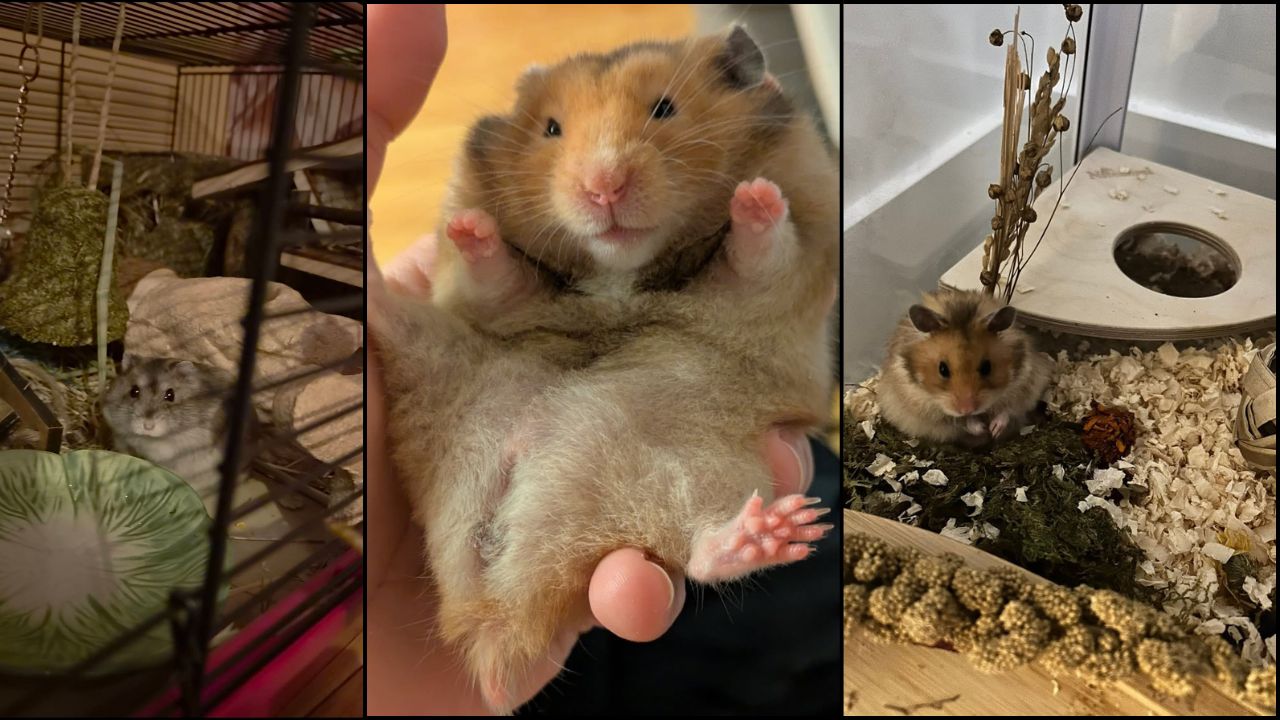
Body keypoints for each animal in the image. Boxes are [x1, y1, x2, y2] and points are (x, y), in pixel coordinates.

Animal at [372, 26, 838, 711]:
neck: (621, 273)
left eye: (664, 109)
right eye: (551, 129)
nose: (603, 187)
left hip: (698, 466)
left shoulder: (781, 279)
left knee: (700, 548)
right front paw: (469, 226)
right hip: (435, 352)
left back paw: (778, 531)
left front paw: (752, 196)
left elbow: (761, 251)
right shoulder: (486, 301)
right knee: (393, 322)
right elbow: (496, 273)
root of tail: (492, 612)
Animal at [877, 289, 1052, 445]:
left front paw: (994, 430)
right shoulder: (924, 407)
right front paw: (981, 429)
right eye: (942, 369)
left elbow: (1007, 410)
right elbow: (959, 421)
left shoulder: (1024, 386)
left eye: (987, 367)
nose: (967, 409)